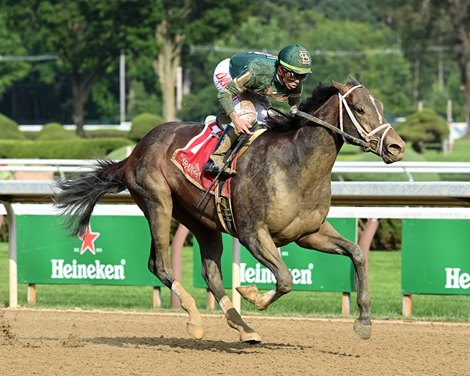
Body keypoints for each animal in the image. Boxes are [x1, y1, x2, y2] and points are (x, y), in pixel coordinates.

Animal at [55, 79, 406, 344]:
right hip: (158, 202)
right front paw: (251, 293)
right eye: (359, 108)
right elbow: (285, 278)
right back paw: (196, 320)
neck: (295, 164)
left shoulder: (309, 233)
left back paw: (243, 327)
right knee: (160, 265)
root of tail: (134, 152)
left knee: (211, 275)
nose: (396, 147)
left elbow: (357, 253)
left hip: (201, 221)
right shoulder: (253, 234)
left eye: (380, 106)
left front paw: (364, 321)